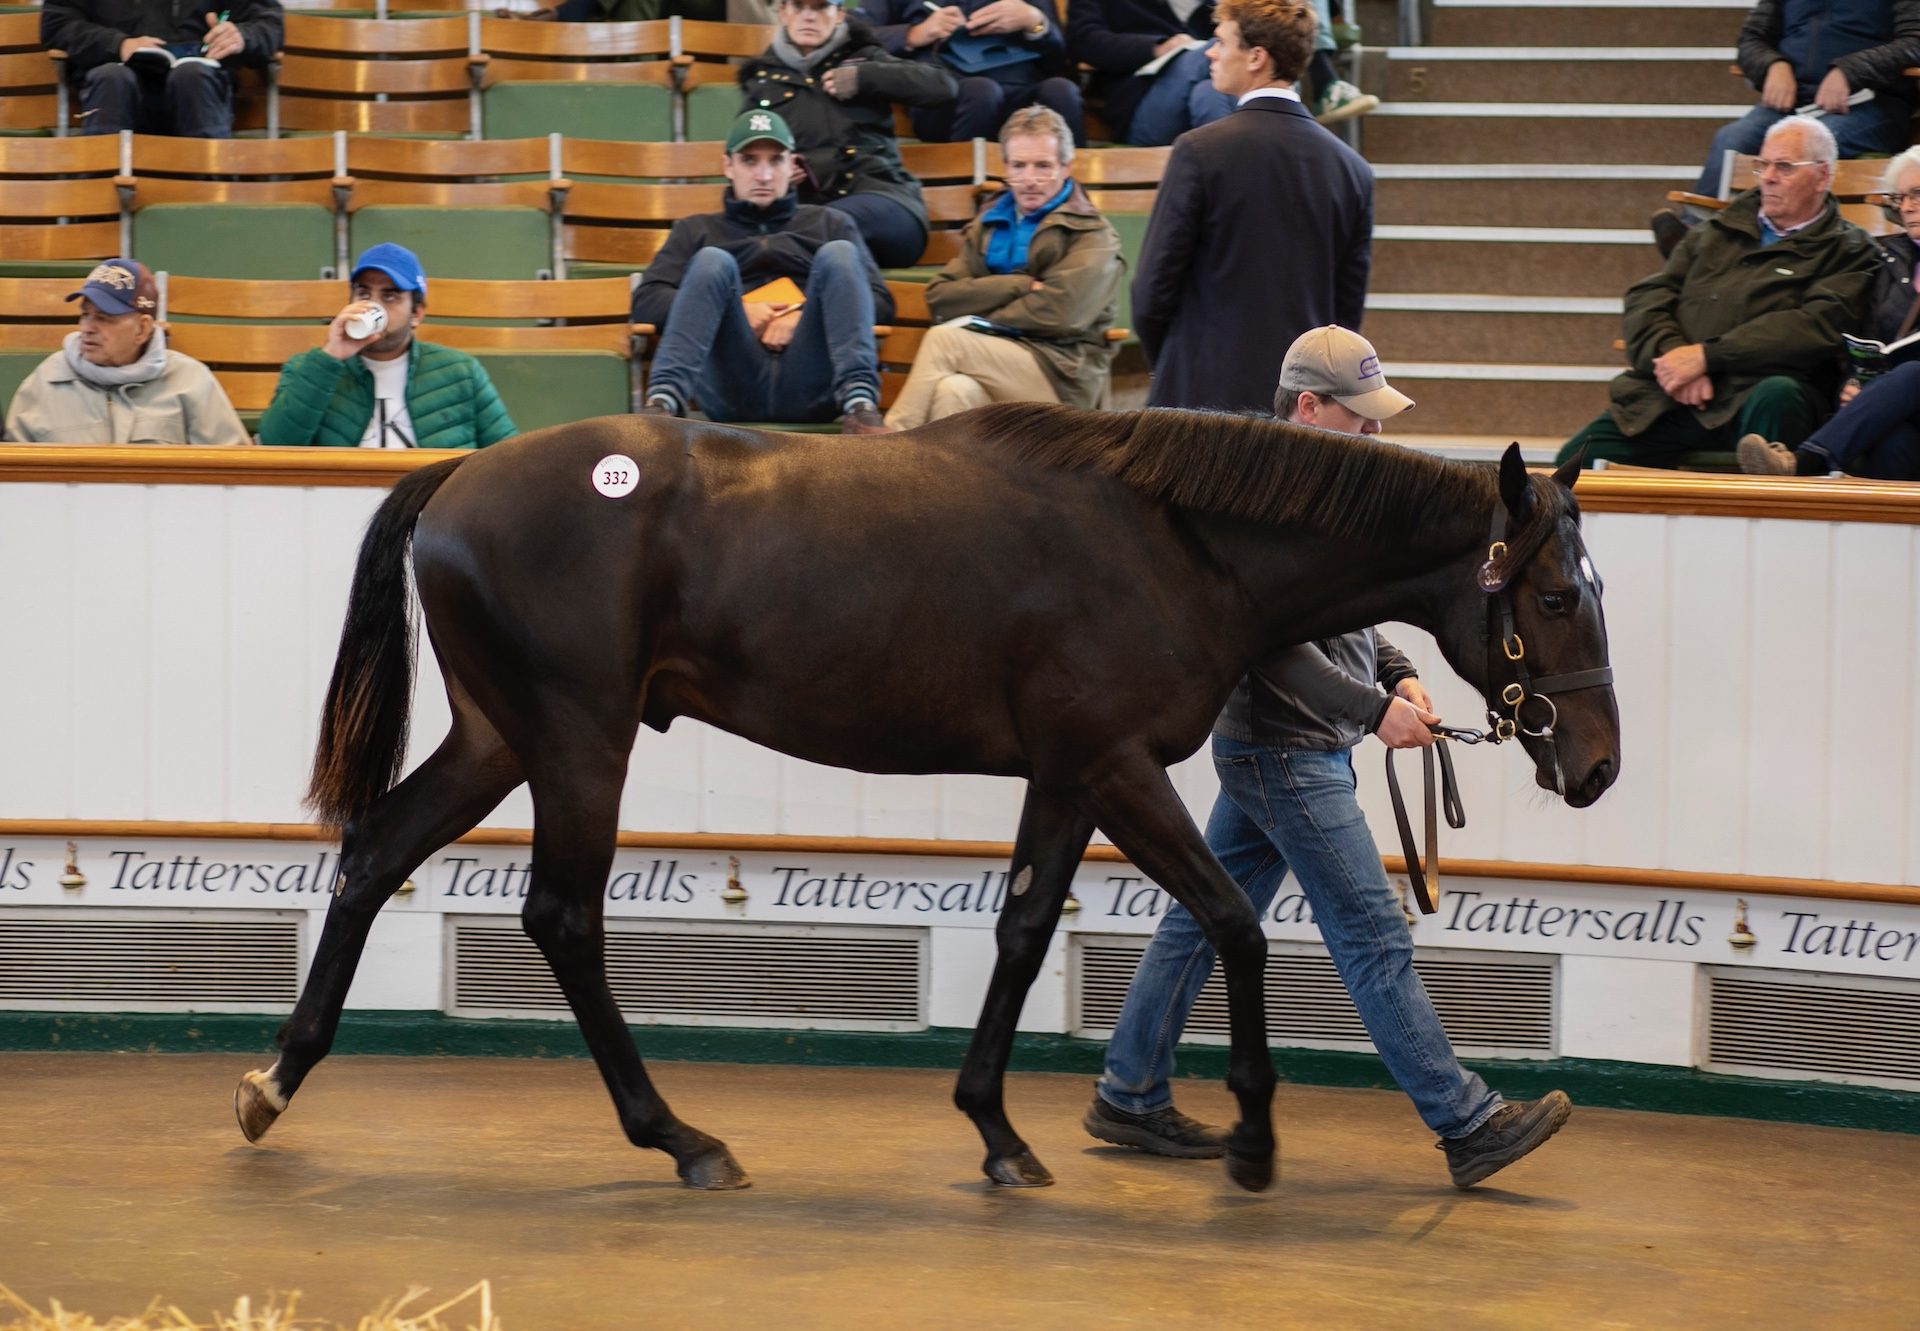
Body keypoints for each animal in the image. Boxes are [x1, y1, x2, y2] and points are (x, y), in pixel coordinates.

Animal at [236, 405, 1620, 1190]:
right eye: (1556, 595)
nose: (1597, 765)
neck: (1175, 542)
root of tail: (459, 479)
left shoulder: (1066, 773)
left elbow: (1023, 926)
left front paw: (998, 1130)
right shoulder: (1116, 762)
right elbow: (1230, 919)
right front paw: (1252, 1139)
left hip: (499, 737)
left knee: (375, 851)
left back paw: (275, 1079)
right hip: (578, 738)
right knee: (562, 918)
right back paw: (683, 1137)